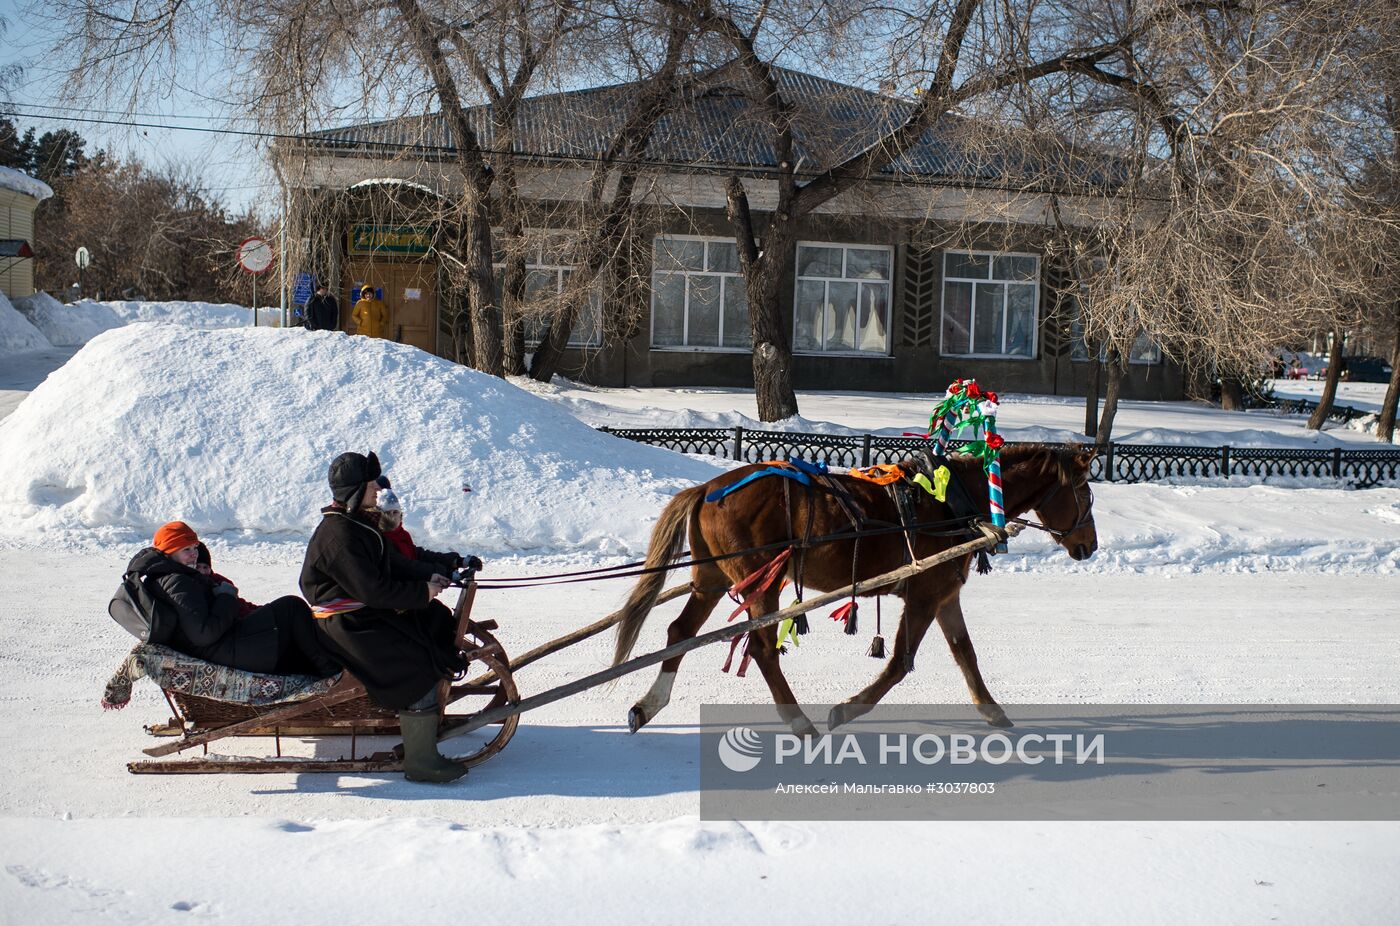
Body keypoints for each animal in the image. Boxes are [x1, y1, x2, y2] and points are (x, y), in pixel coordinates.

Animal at [618, 442, 1097, 734]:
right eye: (1085, 493)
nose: (1089, 546)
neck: (954, 500)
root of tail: (706, 488)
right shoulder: (925, 593)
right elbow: (901, 662)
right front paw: (847, 708)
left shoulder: (944, 593)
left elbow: (966, 653)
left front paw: (992, 709)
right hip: (761, 583)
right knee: (762, 650)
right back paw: (800, 724)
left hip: (714, 580)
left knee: (680, 633)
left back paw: (649, 704)